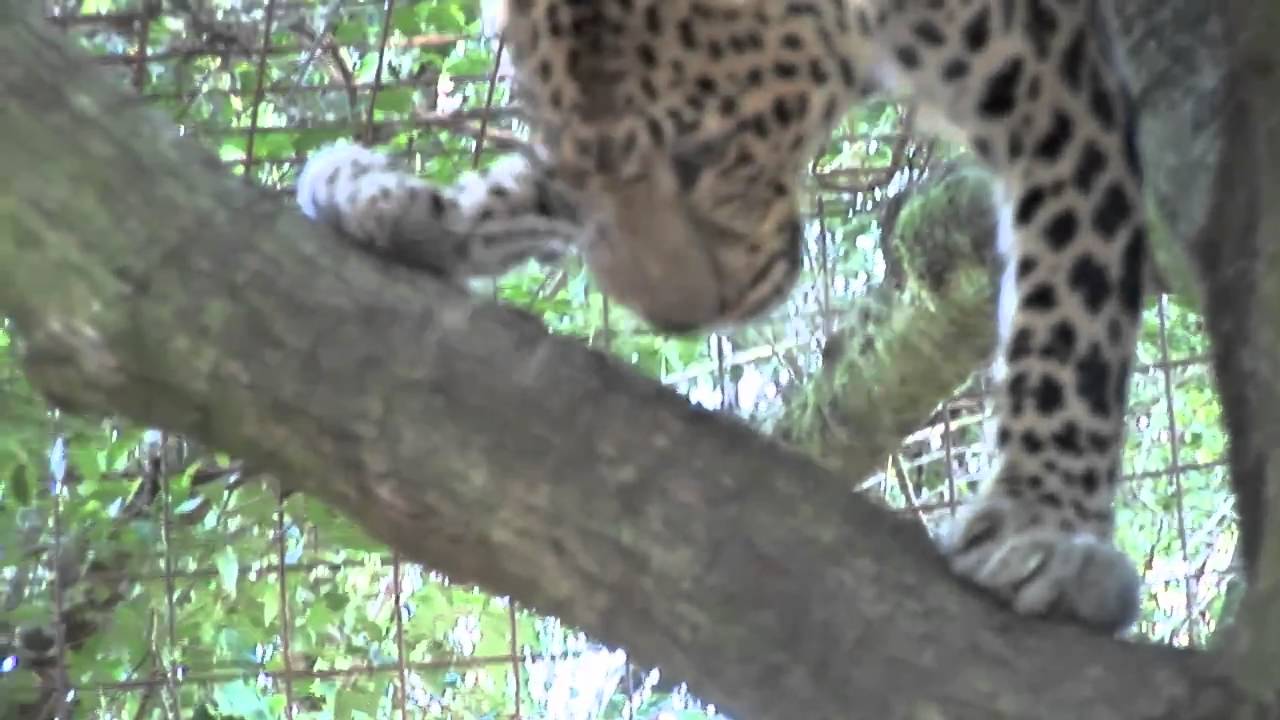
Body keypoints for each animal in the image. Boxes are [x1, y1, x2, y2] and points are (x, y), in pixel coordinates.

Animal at [296, 0, 1148, 634]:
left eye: (707, 152)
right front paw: (400, 204)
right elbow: (519, 191)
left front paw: (1047, 527)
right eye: (567, 169)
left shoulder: (1054, 87)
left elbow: (1071, 311)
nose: (675, 321)